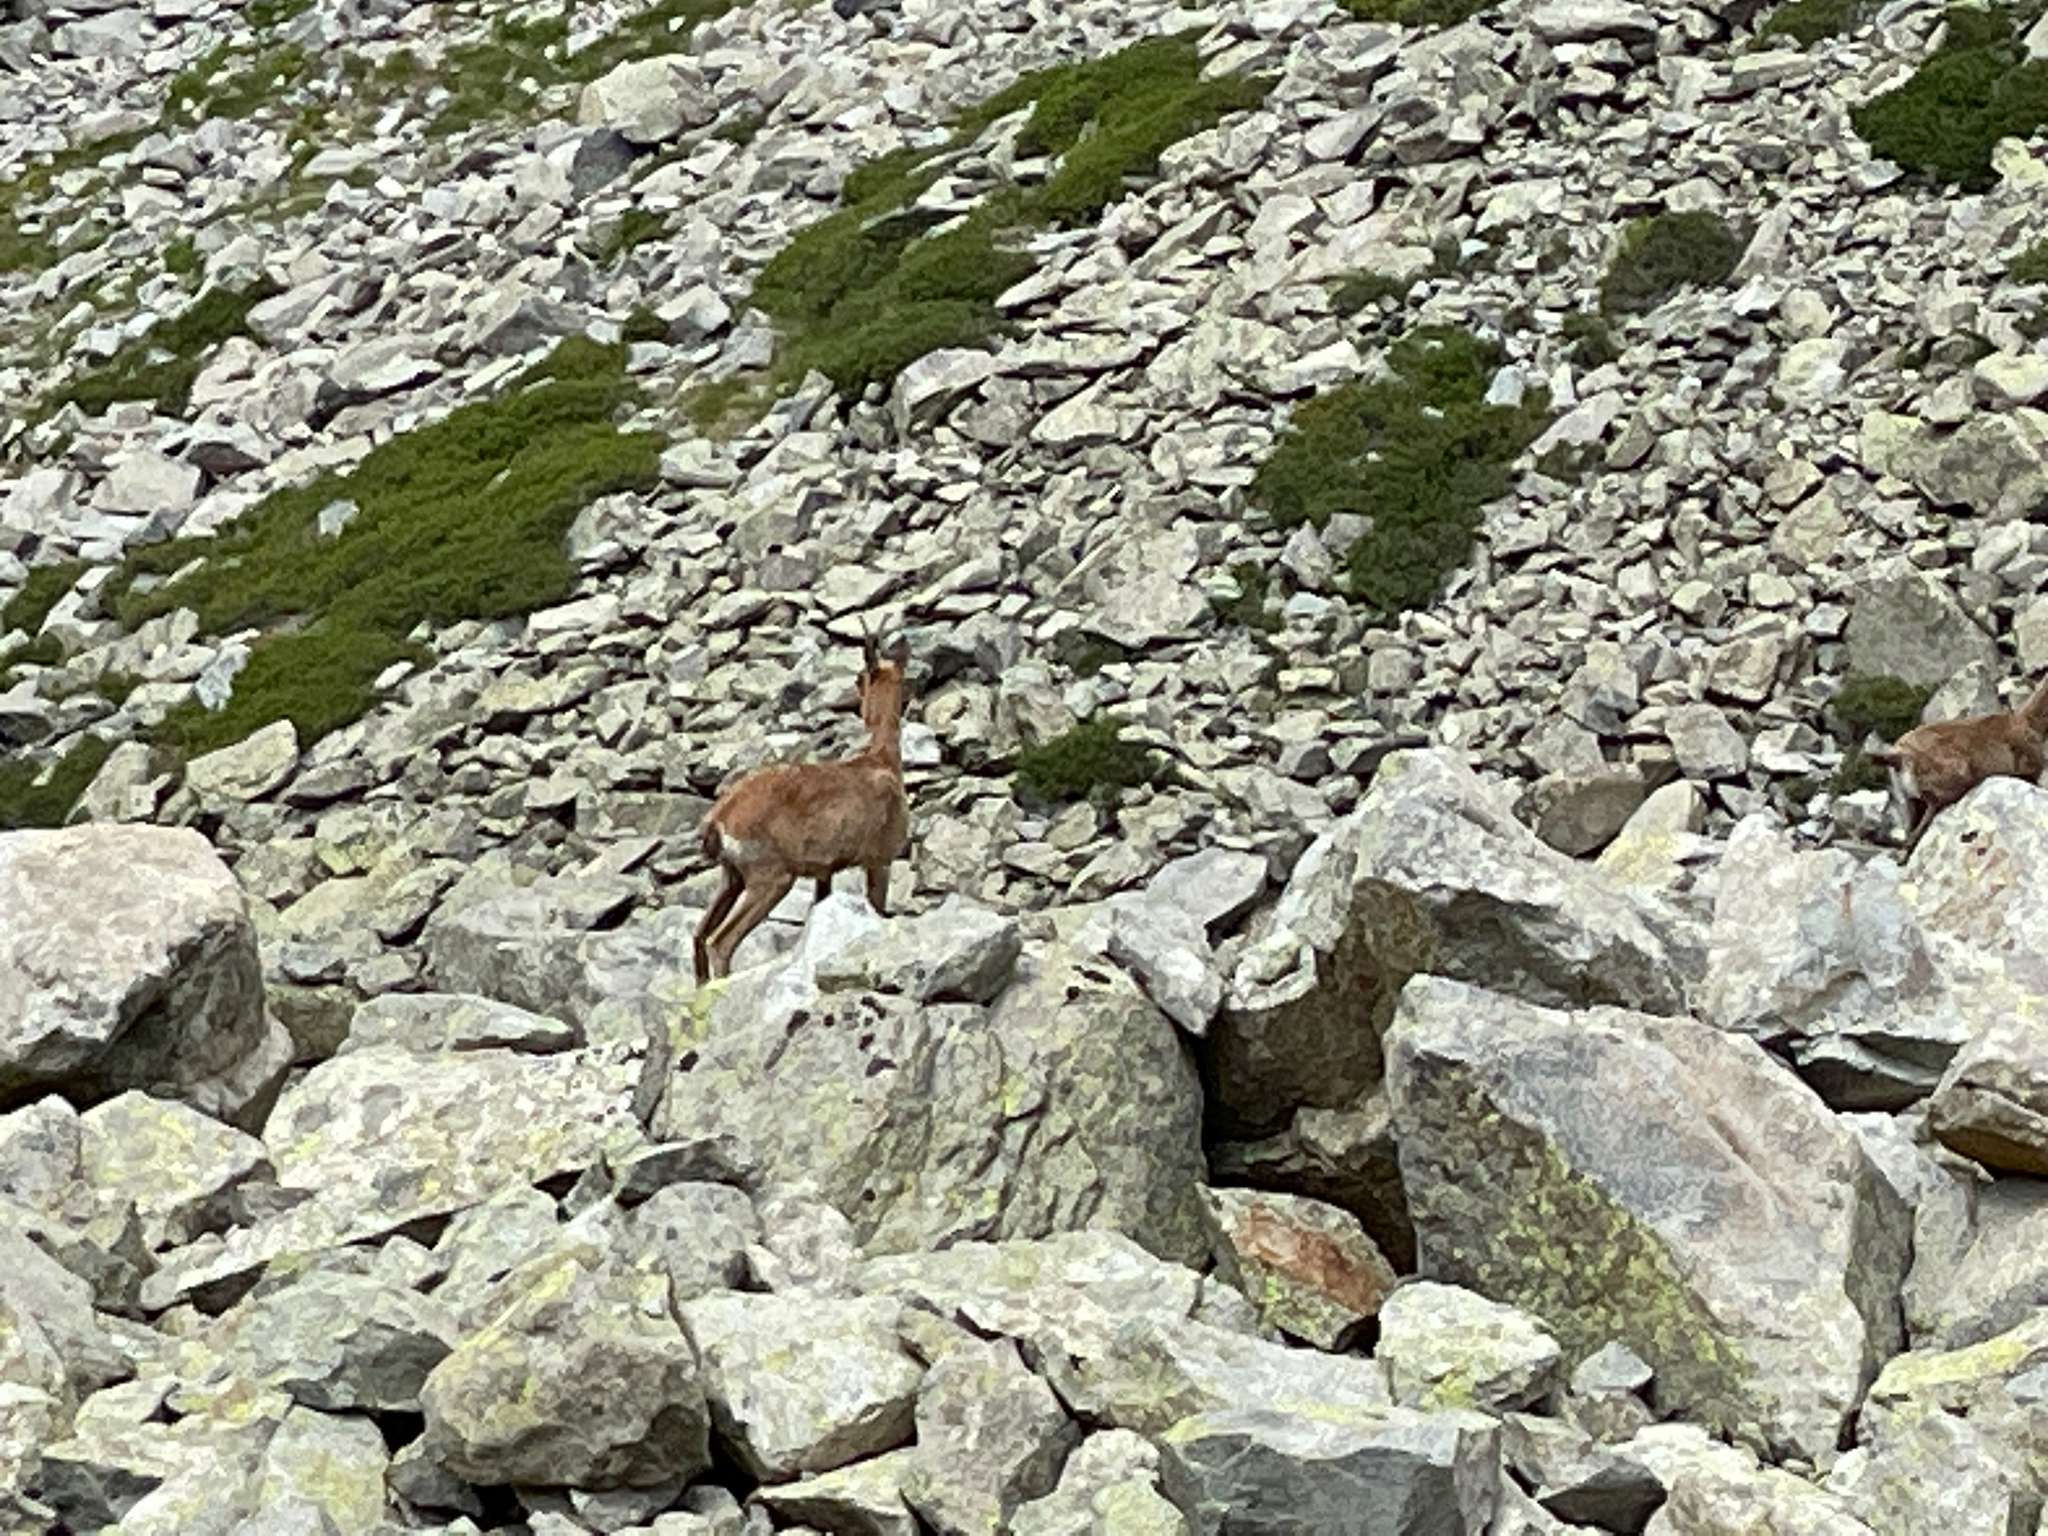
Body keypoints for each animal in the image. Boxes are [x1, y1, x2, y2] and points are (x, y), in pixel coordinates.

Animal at [691, 628, 913, 985]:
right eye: (859, 677)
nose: (853, 703)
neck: (881, 761)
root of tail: (719, 818)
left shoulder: (824, 872)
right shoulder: (880, 859)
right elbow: (878, 908)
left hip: (732, 877)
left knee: (699, 935)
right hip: (771, 878)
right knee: (720, 942)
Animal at [1865, 674, 2048, 858]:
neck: (2030, 723)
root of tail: (1900, 757)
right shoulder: (2030, 770)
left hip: (1907, 797)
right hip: (1948, 776)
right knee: (1933, 805)